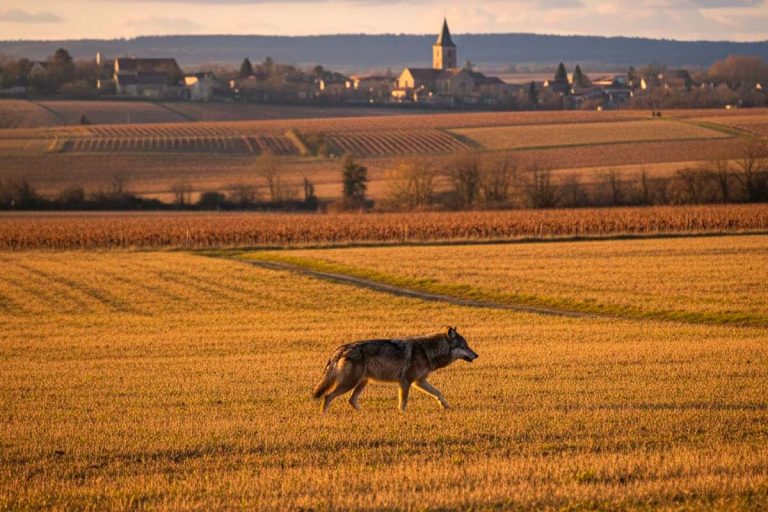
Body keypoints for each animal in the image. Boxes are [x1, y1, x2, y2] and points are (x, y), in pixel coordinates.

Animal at [312, 327, 478, 413]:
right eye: (464, 347)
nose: (477, 355)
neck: (427, 351)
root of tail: (341, 348)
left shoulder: (419, 382)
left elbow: (439, 392)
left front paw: (446, 406)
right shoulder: (406, 382)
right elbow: (403, 403)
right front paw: (402, 415)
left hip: (361, 383)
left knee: (351, 400)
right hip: (350, 383)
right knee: (328, 396)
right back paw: (323, 416)